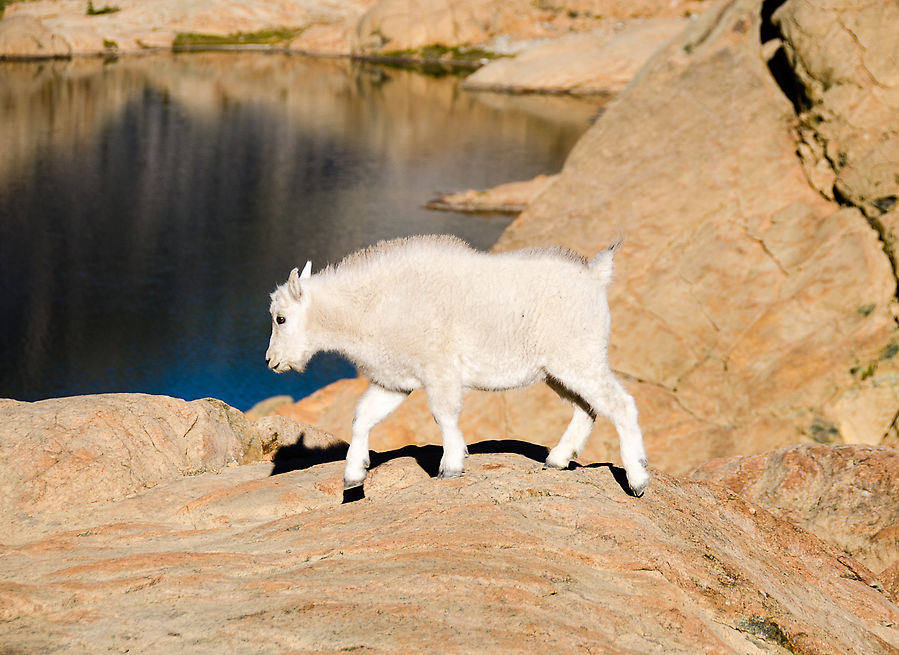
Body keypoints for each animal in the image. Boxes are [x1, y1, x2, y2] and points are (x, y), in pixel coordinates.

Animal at [264, 236, 652, 498]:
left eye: (281, 318)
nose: (271, 361)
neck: (369, 306)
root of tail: (596, 276)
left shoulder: (440, 369)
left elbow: (444, 415)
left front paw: (451, 467)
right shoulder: (396, 381)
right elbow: (363, 417)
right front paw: (353, 476)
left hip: (579, 357)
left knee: (621, 405)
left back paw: (637, 479)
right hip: (556, 370)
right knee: (587, 409)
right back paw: (557, 459)